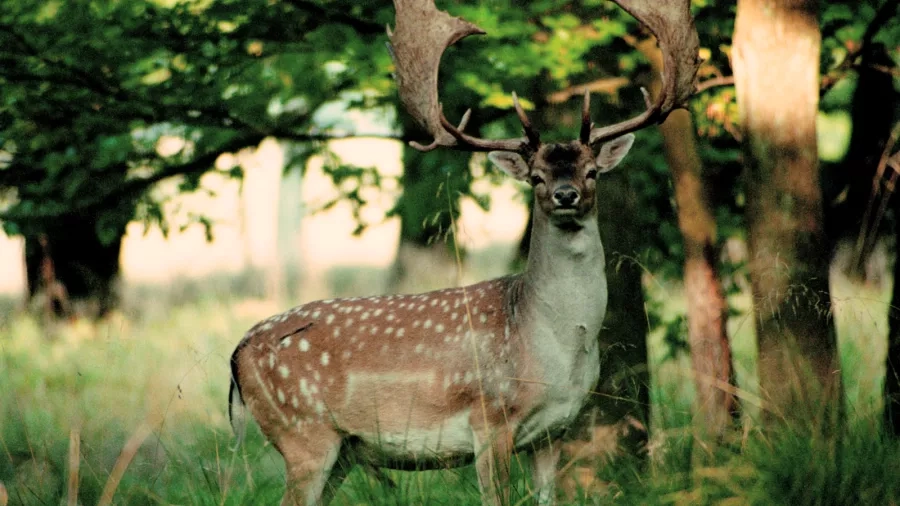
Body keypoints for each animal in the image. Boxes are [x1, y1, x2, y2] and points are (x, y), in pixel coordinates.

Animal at [227, 1, 704, 504]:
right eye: (535, 177)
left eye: (592, 171)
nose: (566, 194)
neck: (554, 347)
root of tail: (237, 353)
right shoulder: (489, 419)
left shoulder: (553, 431)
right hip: (303, 432)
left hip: (340, 450)